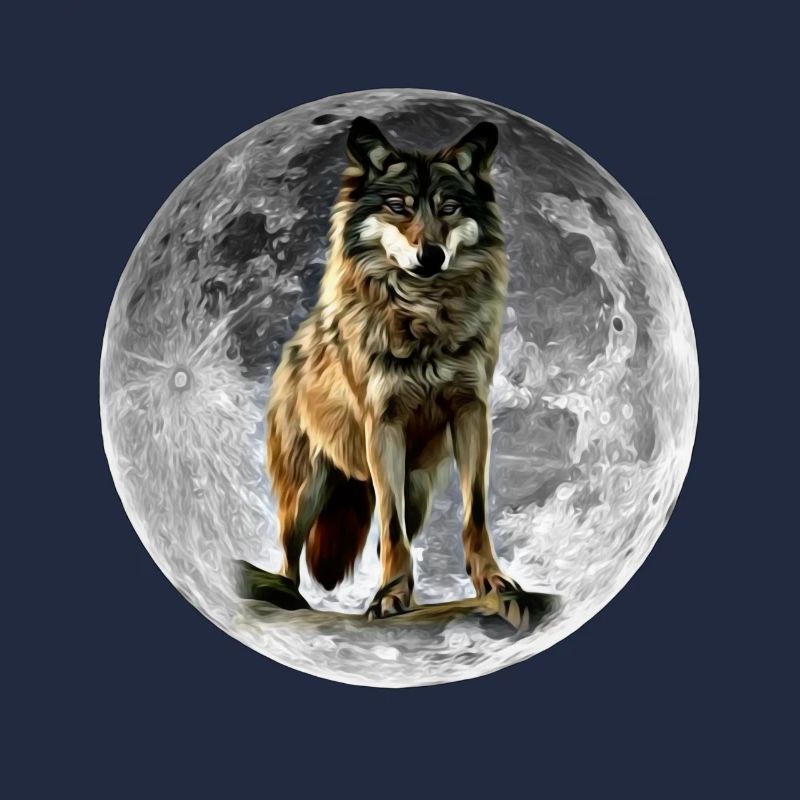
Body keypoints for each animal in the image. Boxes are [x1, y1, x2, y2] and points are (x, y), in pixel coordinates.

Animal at [265, 116, 519, 618]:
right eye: (398, 207)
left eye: (449, 207)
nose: (431, 255)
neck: (425, 316)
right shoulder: (382, 424)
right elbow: (389, 522)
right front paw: (391, 595)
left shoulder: (471, 413)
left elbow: (475, 511)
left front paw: (492, 581)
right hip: (306, 490)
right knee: (288, 550)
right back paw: (286, 596)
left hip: (416, 488)